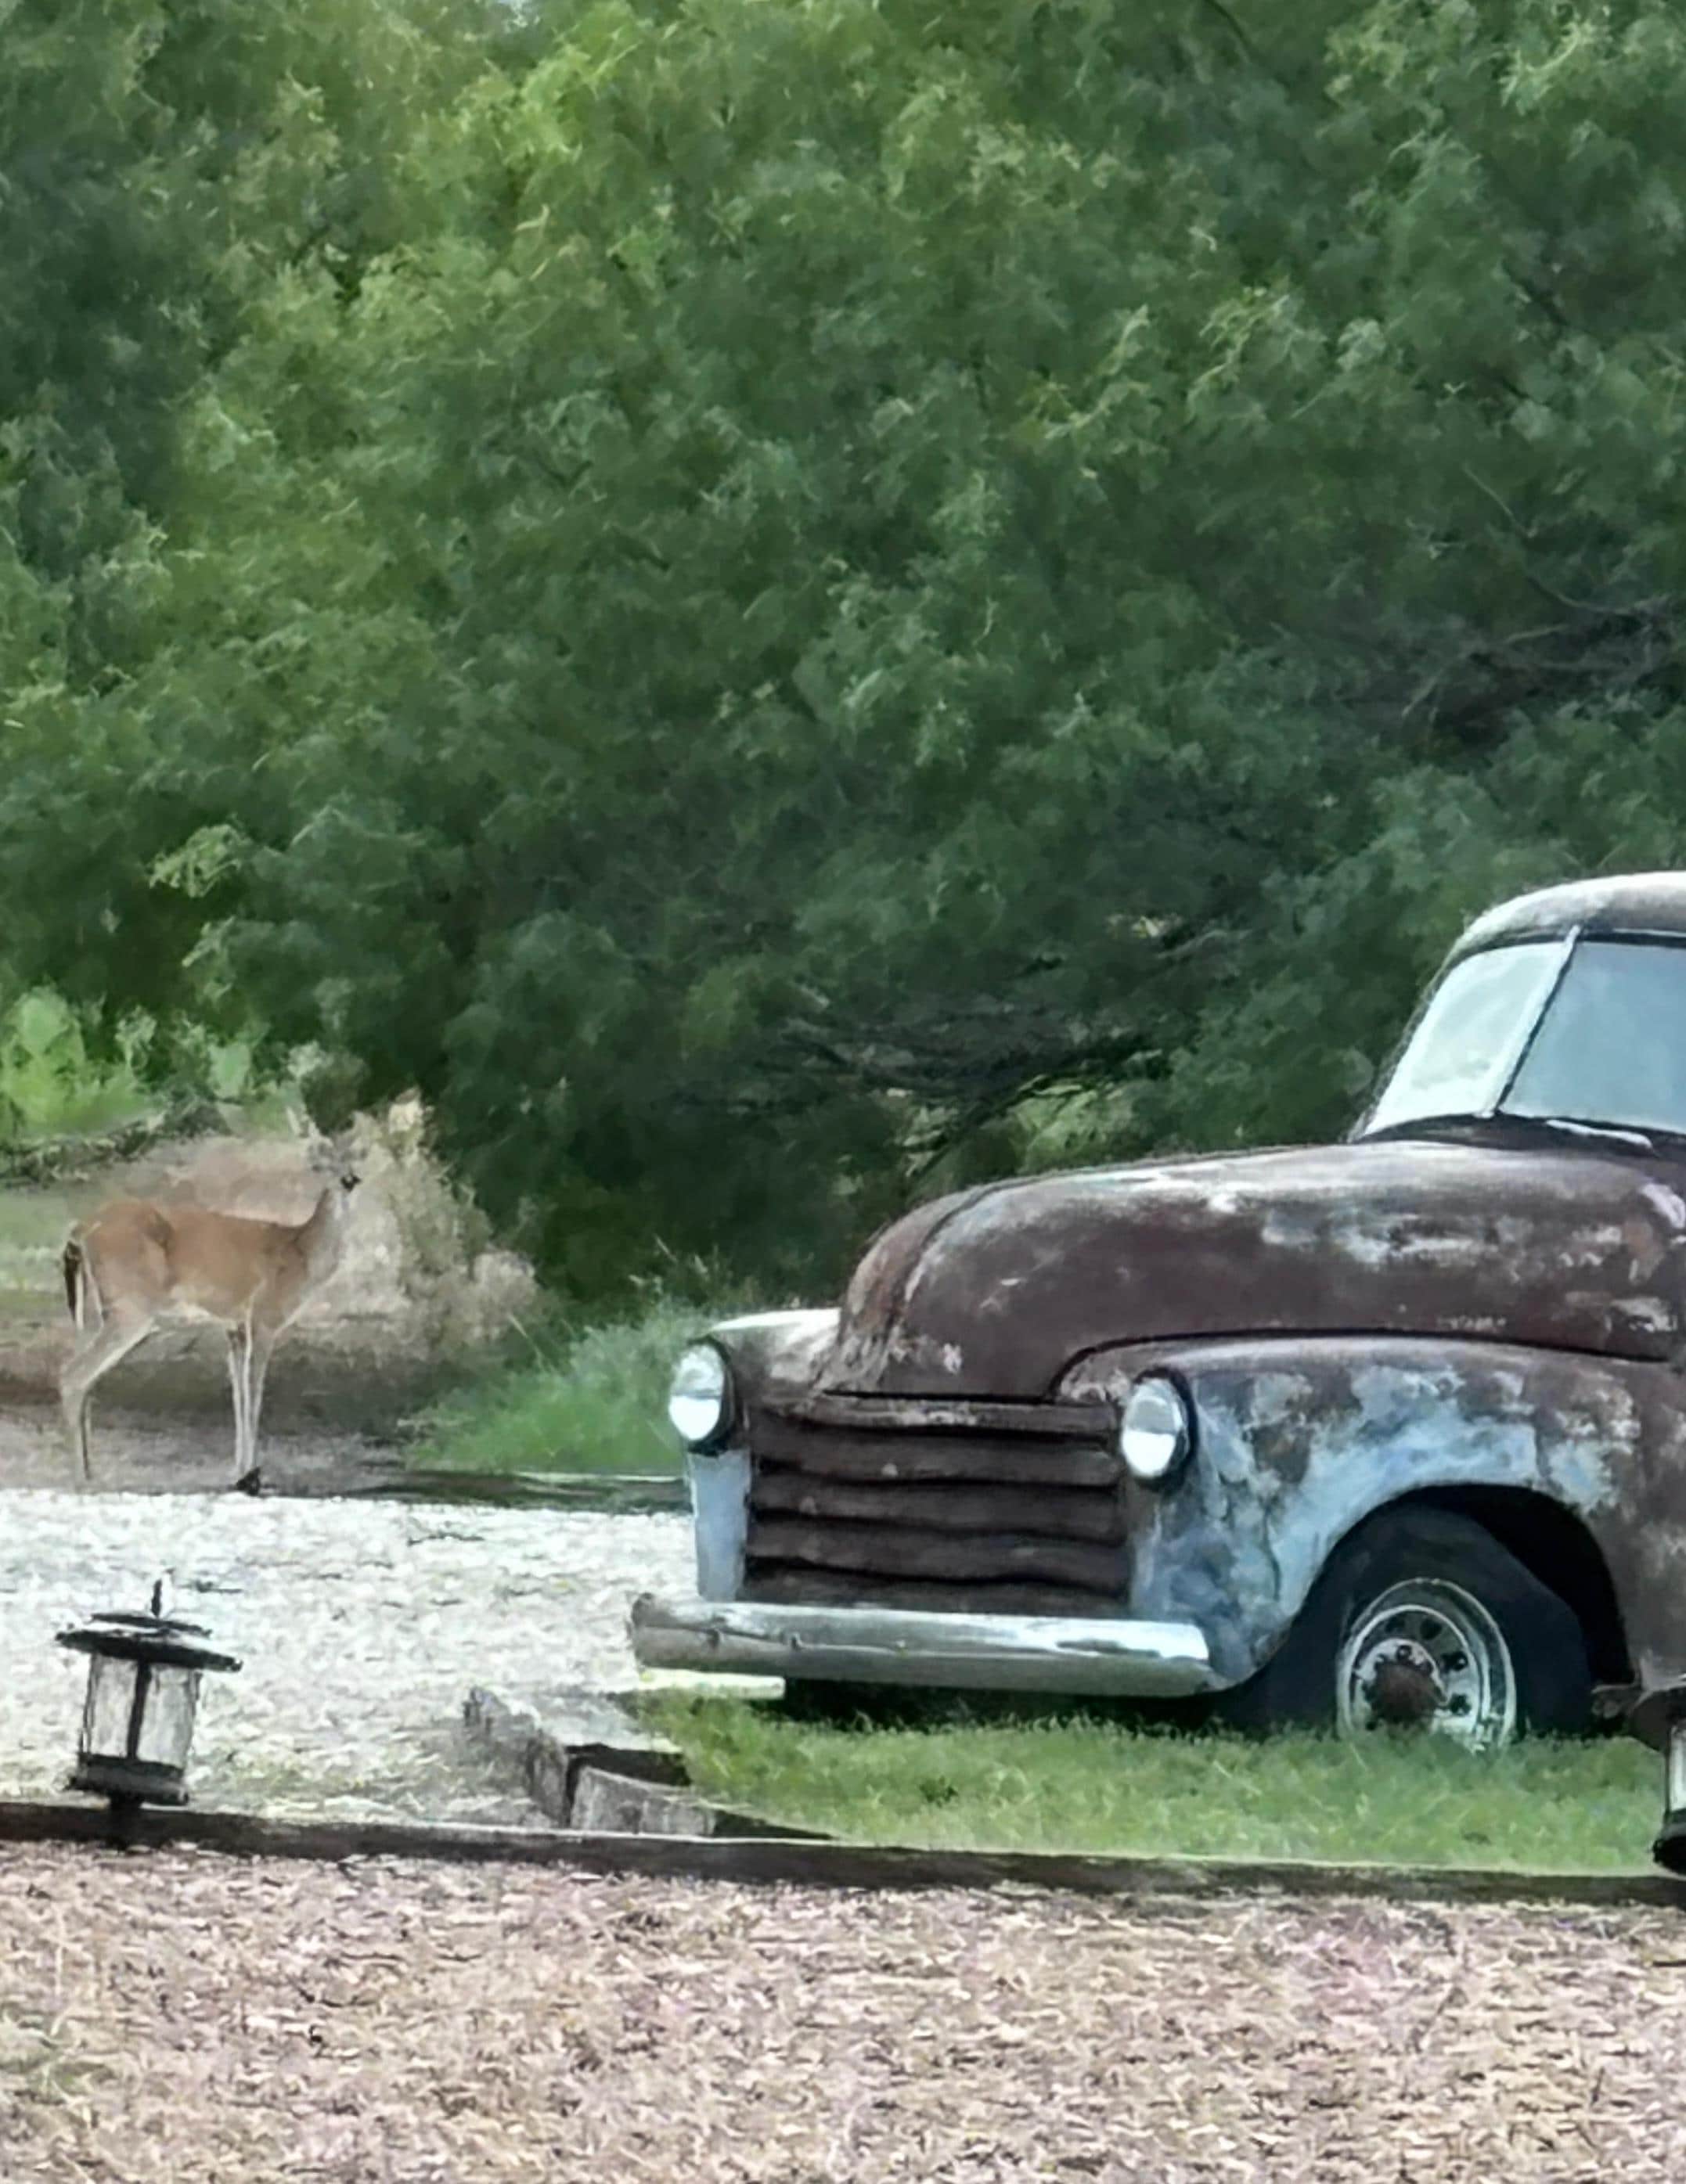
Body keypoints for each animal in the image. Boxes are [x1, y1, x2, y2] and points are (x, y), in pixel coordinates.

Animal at [59, 1136, 362, 1492]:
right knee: (73, 1375)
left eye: (353, 1160)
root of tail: (81, 1229)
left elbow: (239, 1394)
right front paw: (252, 1474)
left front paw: (240, 1471)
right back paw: (81, 1478)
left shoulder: (235, 1327)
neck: (300, 1256)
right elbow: (255, 1393)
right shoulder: (264, 1317)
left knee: (82, 1374)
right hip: (130, 1307)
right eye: (326, 1164)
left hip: (91, 1313)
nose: (350, 1180)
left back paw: (90, 1470)